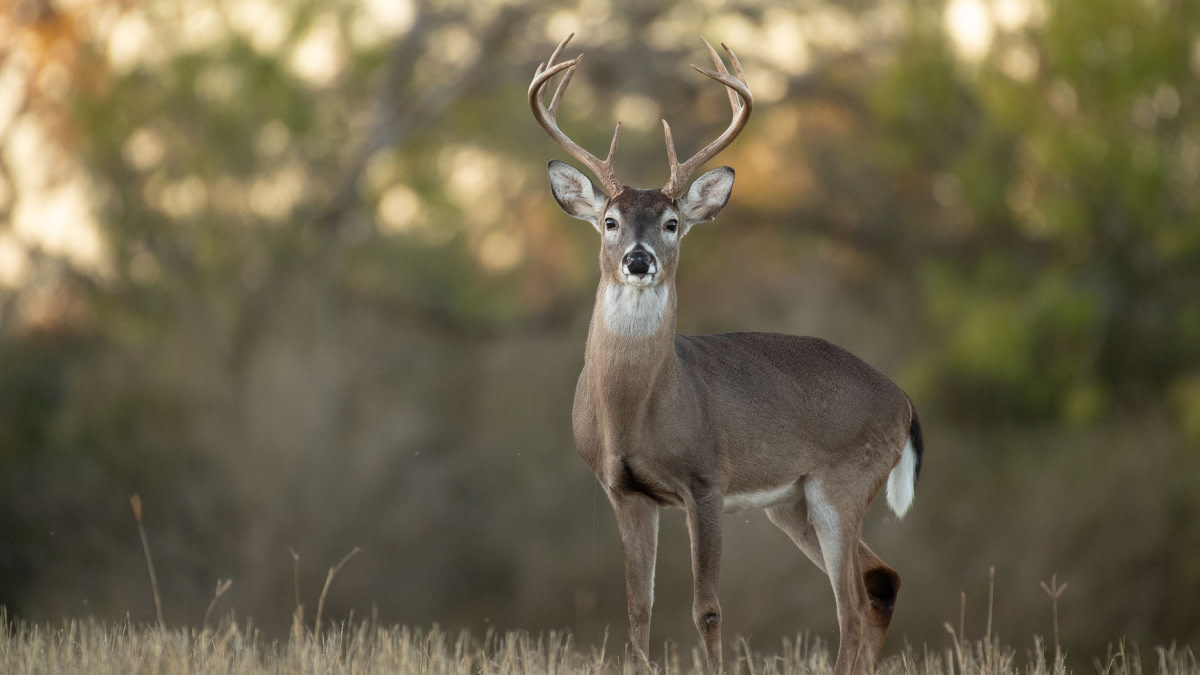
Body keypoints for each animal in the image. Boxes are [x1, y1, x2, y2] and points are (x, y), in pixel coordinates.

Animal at [530, 35, 924, 675]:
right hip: (792, 502)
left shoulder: (707, 479)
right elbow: (638, 607)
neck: (636, 409)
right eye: (609, 221)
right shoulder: (624, 491)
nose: (638, 259)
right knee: (881, 579)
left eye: (671, 222)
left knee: (852, 602)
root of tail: (905, 401)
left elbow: (708, 608)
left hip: (843, 480)